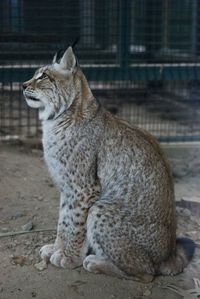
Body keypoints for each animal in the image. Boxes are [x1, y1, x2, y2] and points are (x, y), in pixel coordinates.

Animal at [22, 47, 195, 284]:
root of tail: (170, 254)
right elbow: (63, 221)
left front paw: (70, 258)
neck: (58, 118)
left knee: (147, 273)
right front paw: (57, 249)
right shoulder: (67, 187)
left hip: (100, 208)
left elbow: (75, 224)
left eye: (43, 77)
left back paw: (96, 262)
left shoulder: (83, 189)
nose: (22, 85)